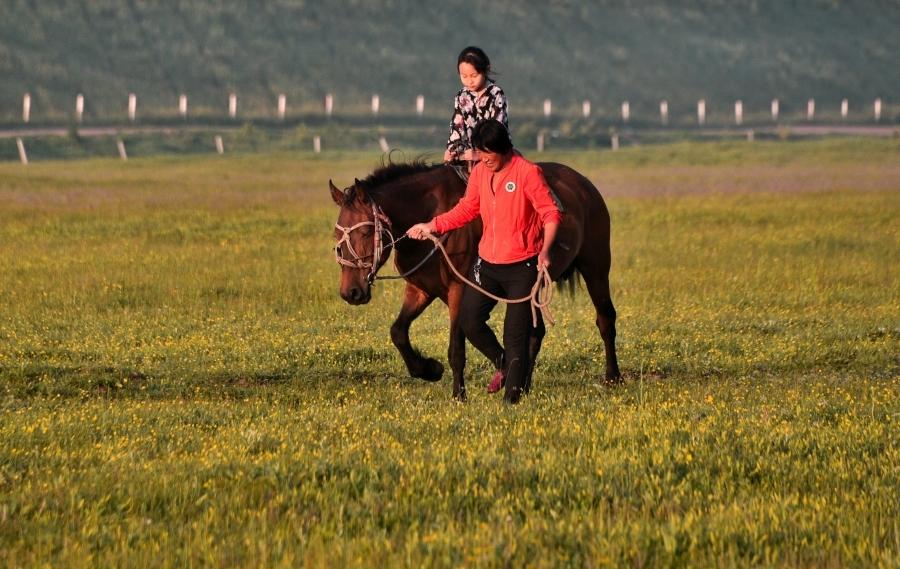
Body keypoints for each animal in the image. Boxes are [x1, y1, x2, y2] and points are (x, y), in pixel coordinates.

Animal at [330, 160, 620, 400]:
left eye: (365, 232)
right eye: (336, 234)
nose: (350, 292)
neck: (433, 218)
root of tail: (583, 183)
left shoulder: (459, 290)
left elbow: (456, 349)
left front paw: (459, 395)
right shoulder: (420, 289)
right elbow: (398, 332)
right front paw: (429, 369)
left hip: (596, 266)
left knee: (605, 318)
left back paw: (612, 378)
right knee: (536, 333)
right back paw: (523, 387)